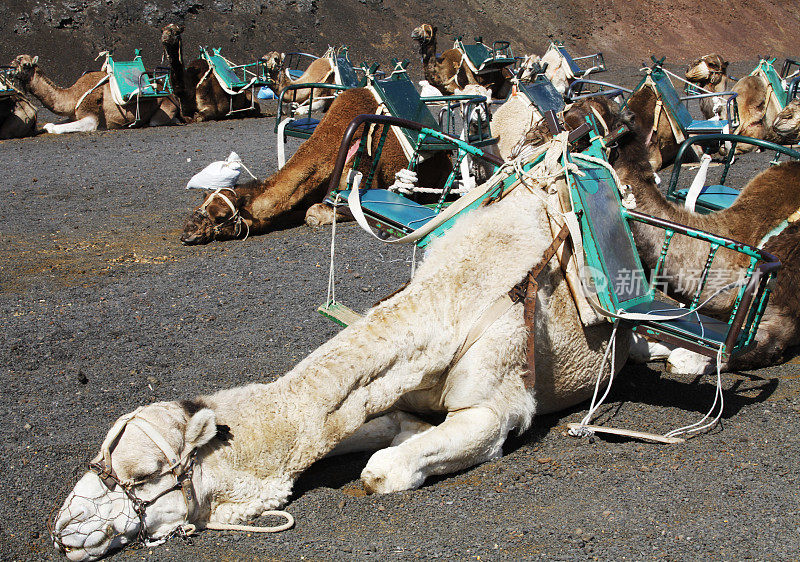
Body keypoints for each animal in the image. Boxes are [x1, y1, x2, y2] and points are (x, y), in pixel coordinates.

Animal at [10, 54, 180, 133]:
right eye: (14, 60)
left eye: (25, 65)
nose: (10, 70)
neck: (72, 96)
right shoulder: (74, 115)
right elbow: (53, 124)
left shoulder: (91, 115)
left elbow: (56, 128)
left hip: (164, 109)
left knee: (156, 121)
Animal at [51, 138, 624, 556]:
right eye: (102, 453)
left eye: (145, 474)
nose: (66, 528)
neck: (450, 300)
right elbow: (383, 427)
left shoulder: (496, 405)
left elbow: (381, 471)